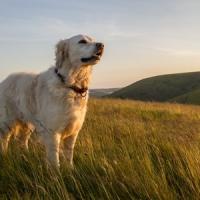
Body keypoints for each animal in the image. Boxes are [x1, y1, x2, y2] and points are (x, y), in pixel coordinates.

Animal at [0, 34, 104, 167]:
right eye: (82, 41)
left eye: (93, 40)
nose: (101, 45)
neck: (70, 85)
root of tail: (5, 80)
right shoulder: (52, 132)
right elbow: (54, 160)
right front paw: (56, 172)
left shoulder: (73, 133)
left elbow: (69, 156)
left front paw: (70, 169)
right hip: (7, 122)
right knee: (4, 139)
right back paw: (4, 155)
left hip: (27, 124)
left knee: (22, 140)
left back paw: (25, 156)